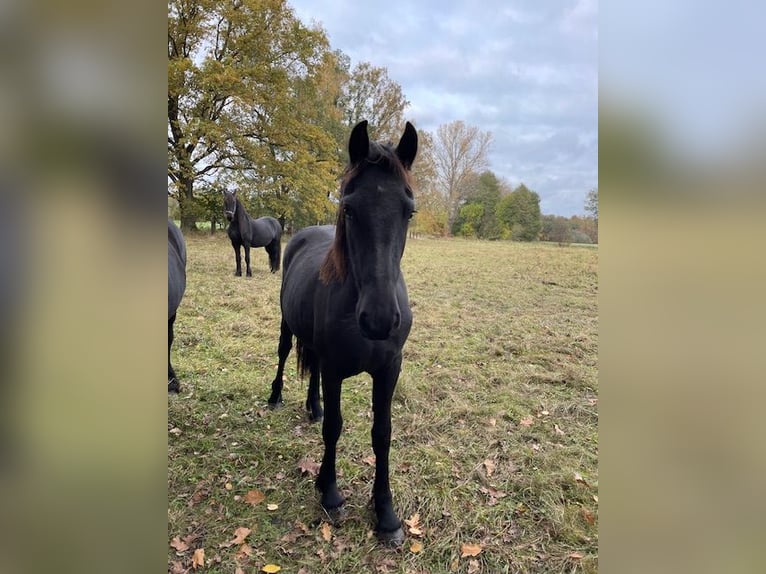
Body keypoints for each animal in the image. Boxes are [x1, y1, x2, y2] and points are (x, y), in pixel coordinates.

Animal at [270, 120, 420, 544]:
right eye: (349, 208)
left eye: (409, 211)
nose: (380, 318)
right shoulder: (336, 369)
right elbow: (335, 427)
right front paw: (330, 491)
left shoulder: (389, 370)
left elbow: (382, 434)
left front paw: (386, 514)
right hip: (287, 326)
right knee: (284, 353)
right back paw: (275, 396)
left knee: (312, 373)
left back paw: (313, 405)